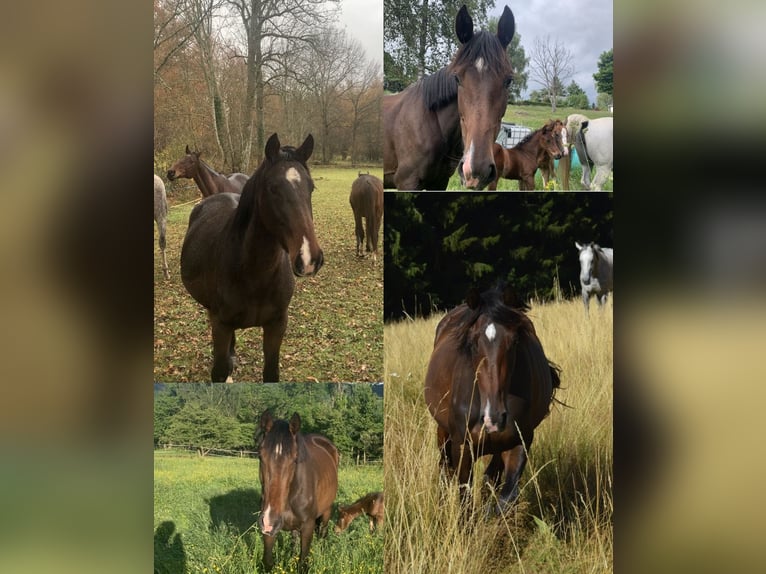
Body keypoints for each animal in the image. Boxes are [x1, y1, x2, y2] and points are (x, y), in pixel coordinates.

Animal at [181, 134, 324, 382]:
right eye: (273, 188)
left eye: (311, 188)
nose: (309, 259)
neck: (253, 272)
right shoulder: (221, 324)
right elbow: (219, 372)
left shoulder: (277, 325)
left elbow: (271, 374)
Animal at [258, 414, 340, 574]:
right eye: (260, 456)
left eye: (294, 459)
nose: (270, 520)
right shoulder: (268, 530)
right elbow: (268, 562)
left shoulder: (308, 527)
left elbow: (303, 564)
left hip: (326, 511)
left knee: (323, 533)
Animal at [384, 4, 516, 190]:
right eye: (457, 78)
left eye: (509, 80)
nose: (476, 170)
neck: (430, 123)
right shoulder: (407, 182)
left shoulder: (440, 182)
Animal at [424, 284, 560, 512]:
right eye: (473, 341)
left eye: (515, 340)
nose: (493, 419)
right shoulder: (463, 446)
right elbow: (466, 501)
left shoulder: (520, 442)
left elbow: (505, 496)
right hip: (443, 432)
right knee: (445, 469)